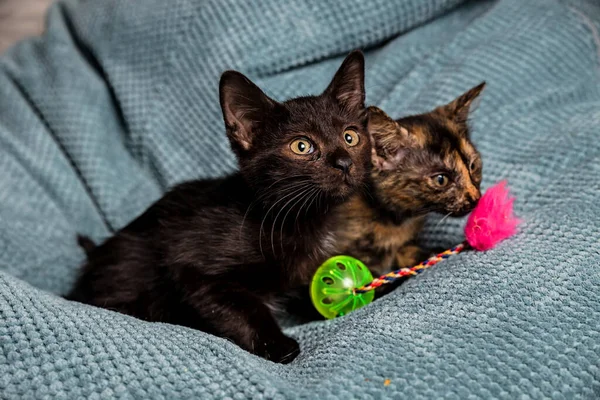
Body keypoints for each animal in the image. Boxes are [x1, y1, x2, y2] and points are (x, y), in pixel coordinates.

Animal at [69, 51, 370, 364]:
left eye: (350, 137)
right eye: (302, 146)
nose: (344, 162)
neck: (299, 218)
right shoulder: (191, 265)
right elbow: (242, 306)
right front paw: (278, 345)